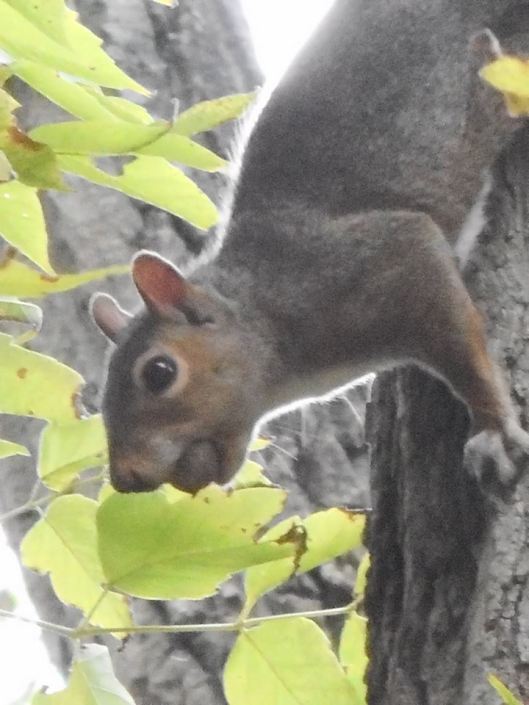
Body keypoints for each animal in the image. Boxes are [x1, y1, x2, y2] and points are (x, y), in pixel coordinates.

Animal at [92, 0, 529, 494]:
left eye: (159, 372)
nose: (125, 478)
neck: (264, 309)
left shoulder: (383, 259)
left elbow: (462, 350)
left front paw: (493, 429)